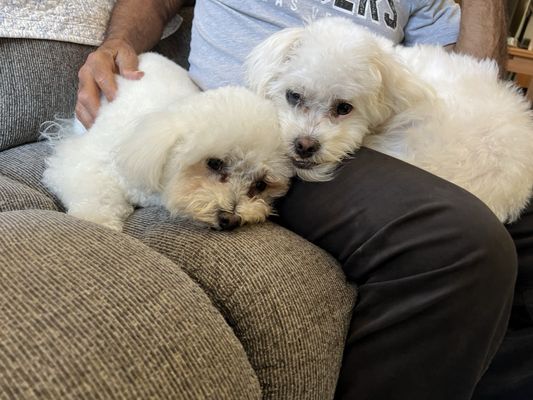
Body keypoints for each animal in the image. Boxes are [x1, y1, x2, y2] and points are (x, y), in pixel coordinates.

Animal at [42, 52, 290, 231]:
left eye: (261, 184)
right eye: (214, 163)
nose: (230, 220)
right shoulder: (85, 161)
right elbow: (95, 193)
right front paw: (98, 221)